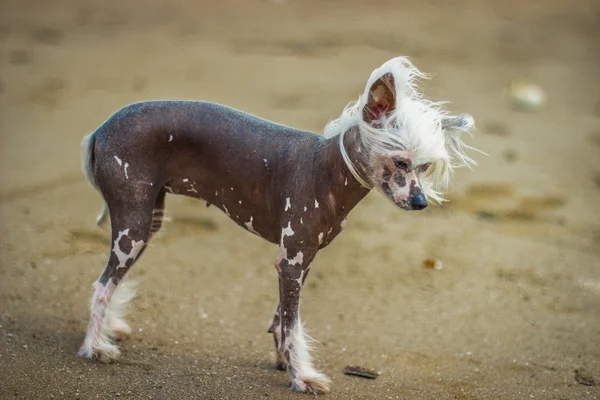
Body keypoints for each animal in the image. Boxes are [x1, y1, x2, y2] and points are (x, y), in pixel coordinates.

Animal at [77, 56, 476, 394]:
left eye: (424, 167)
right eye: (401, 162)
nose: (421, 202)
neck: (326, 170)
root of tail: (100, 130)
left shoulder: (300, 259)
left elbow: (283, 321)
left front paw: (288, 363)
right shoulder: (291, 261)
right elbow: (293, 323)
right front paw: (303, 377)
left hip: (149, 220)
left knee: (113, 281)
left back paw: (110, 328)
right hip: (133, 225)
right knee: (102, 285)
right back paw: (95, 347)